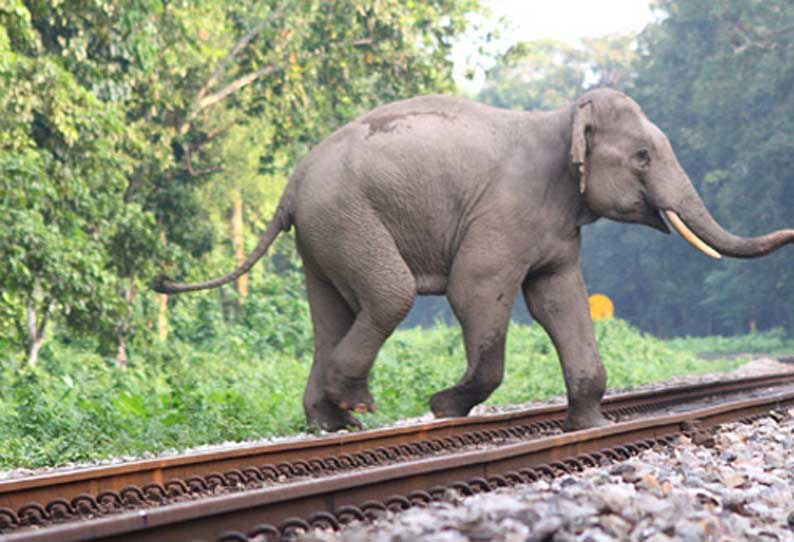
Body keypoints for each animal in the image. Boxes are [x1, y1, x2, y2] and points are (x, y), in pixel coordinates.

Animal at [152, 89, 788, 434]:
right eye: (642, 157)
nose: (791, 232)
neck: (561, 117)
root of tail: (294, 181)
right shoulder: (504, 214)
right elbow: (476, 290)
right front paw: (443, 408)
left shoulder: (554, 229)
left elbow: (560, 299)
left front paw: (591, 427)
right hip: (345, 217)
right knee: (389, 294)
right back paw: (356, 404)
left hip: (321, 233)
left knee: (331, 309)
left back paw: (333, 422)